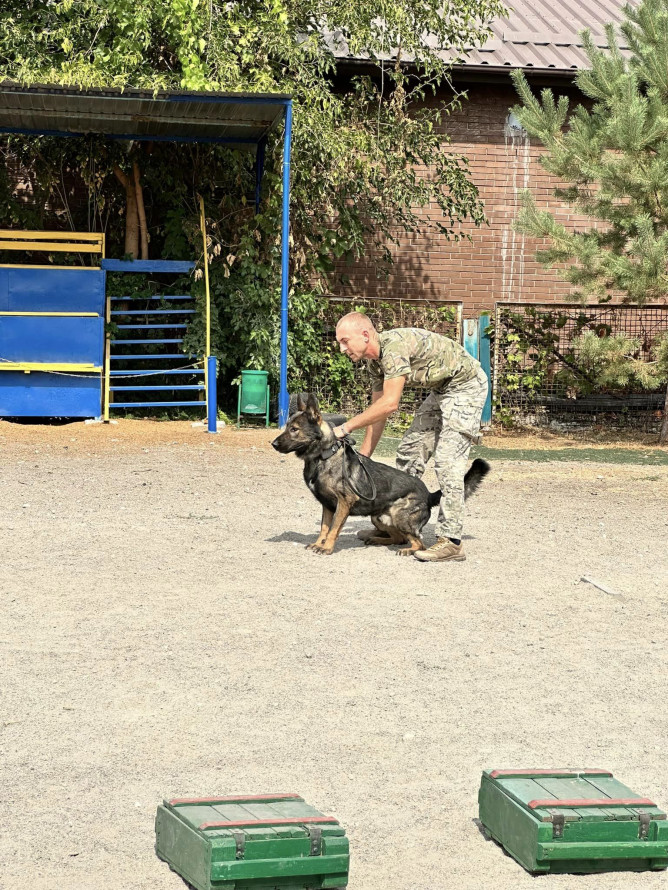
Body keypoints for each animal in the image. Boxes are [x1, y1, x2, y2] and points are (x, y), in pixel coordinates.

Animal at [272, 392, 490, 552]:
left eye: (294, 429)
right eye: (287, 427)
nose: (273, 444)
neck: (323, 456)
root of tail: (428, 494)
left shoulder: (344, 503)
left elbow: (333, 528)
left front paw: (326, 548)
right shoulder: (327, 506)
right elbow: (324, 527)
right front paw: (319, 544)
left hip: (400, 517)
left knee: (418, 543)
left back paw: (410, 550)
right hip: (378, 517)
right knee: (399, 538)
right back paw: (377, 540)